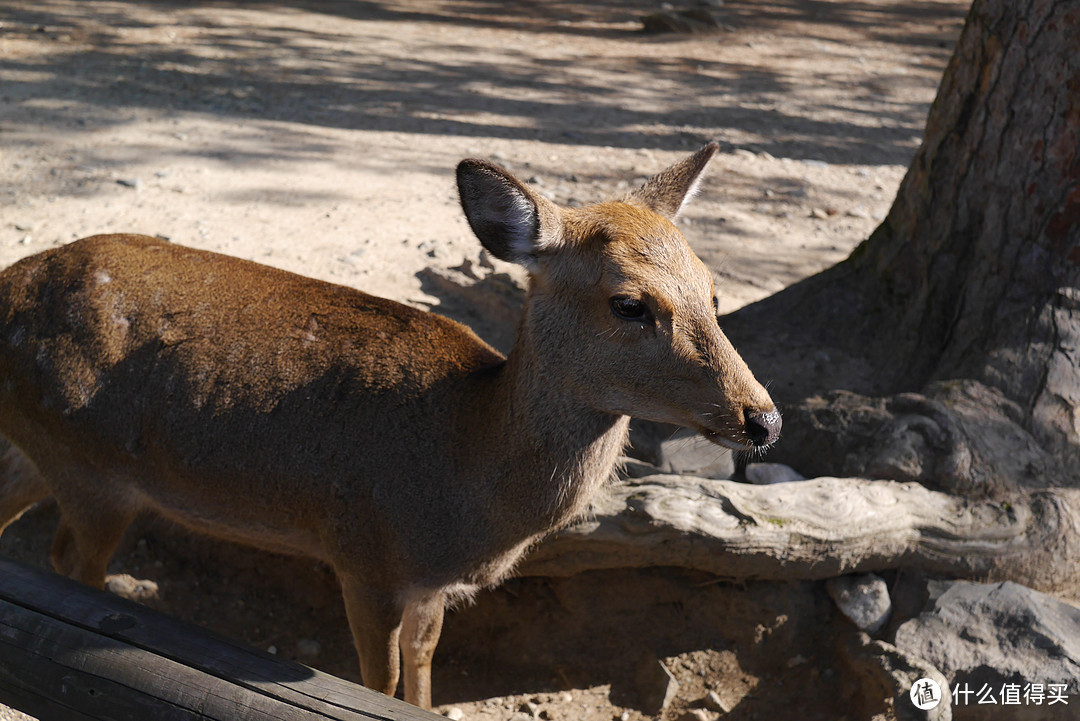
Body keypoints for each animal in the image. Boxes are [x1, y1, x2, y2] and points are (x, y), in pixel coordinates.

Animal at [0, 142, 781, 708]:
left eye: (713, 289)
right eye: (628, 302)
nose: (763, 419)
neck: (463, 474)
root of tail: (11, 282)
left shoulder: (430, 585)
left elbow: (422, 666)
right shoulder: (362, 552)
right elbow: (376, 680)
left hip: (37, 452)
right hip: (88, 467)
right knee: (71, 561)